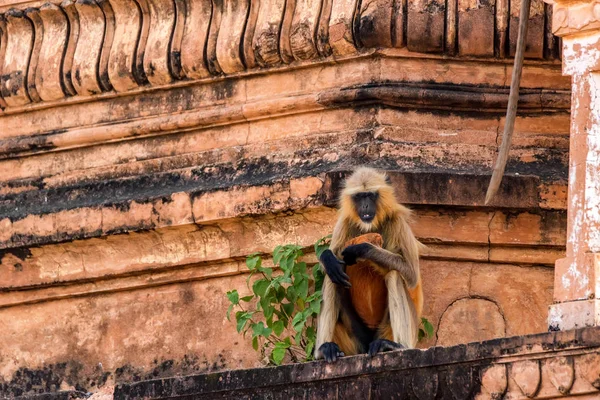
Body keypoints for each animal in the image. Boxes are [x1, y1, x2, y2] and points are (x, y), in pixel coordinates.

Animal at [314, 167, 422, 360]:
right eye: (359, 197)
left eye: (370, 196)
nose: (365, 206)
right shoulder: (345, 222)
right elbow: (329, 264)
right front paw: (327, 257)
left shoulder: (397, 222)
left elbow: (411, 276)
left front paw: (362, 249)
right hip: (356, 341)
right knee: (332, 276)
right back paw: (324, 349)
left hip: (391, 331)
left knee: (394, 275)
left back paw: (398, 346)